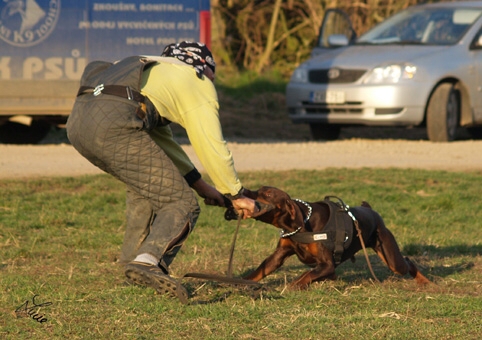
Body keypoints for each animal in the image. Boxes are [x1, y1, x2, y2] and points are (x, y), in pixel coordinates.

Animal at [241, 186, 430, 290]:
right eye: (258, 189)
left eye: (268, 194)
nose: (244, 191)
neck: (301, 224)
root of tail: (370, 210)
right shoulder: (280, 254)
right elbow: (260, 271)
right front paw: (242, 283)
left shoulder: (327, 265)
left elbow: (306, 275)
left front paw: (293, 287)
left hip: (391, 257)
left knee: (407, 262)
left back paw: (426, 283)